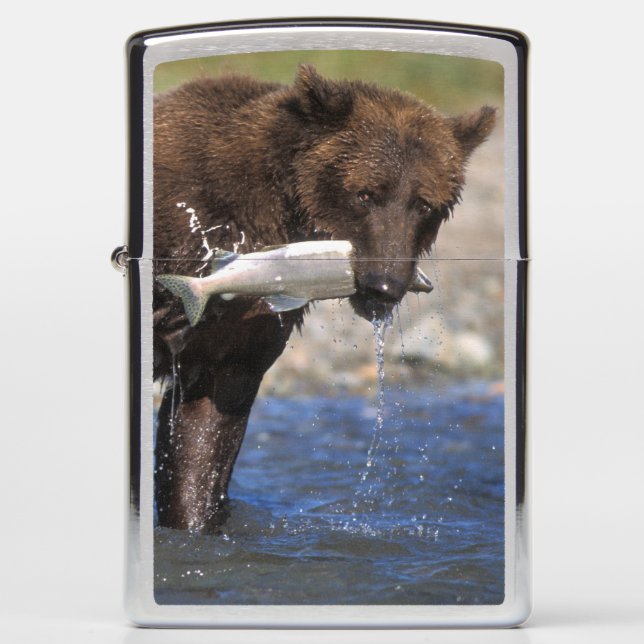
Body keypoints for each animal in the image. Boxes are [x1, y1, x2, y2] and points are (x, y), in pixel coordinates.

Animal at [152, 65, 495, 532]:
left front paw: (194, 522)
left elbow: (204, 432)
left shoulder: (237, 334)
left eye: (424, 204)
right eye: (366, 194)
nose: (384, 285)